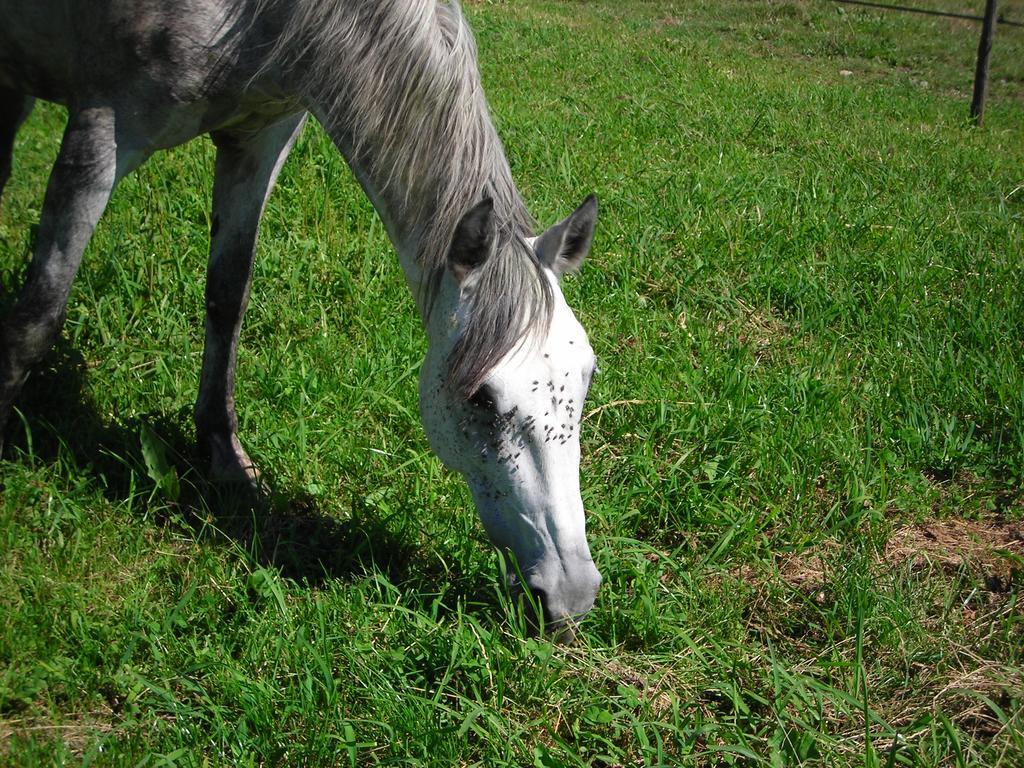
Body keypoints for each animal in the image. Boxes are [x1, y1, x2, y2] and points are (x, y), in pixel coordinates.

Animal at [0, 0, 602, 634]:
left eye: (586, 376)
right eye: (481, 399)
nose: (574, 592)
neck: (259, 19)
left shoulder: (259, 140)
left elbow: (227, 297)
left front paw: (225, 456)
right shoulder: (101, 128)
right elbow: (38, 317)